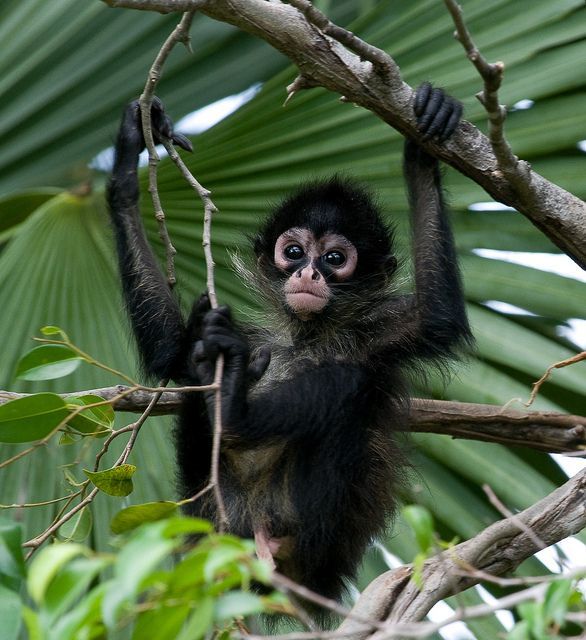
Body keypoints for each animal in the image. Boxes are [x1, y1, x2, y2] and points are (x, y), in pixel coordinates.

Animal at [105, 85, 470, 604]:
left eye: (335, 259)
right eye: (294, 252)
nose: (309, 273)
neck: (305, 335)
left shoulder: (378, 334)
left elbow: (437, 318)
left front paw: (422, 150)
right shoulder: (264, 336)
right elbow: (172, 352)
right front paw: (126, 163)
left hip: (311, 524)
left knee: (346, 380)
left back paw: (235, 409)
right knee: (198, 372)